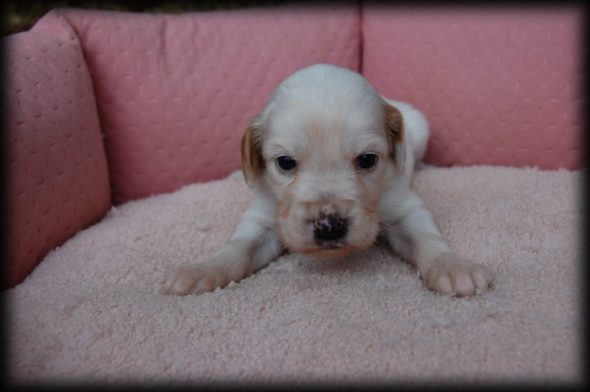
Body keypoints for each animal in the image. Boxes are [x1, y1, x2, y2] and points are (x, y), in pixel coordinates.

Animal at [164, 64, 498, 298]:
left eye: (367, 159)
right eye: (285, 162)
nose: (329, 226)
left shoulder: (404, 205)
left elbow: (426, 237)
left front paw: (452, 265)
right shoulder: (261, 215)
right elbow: (238, 248)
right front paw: (204, 269)